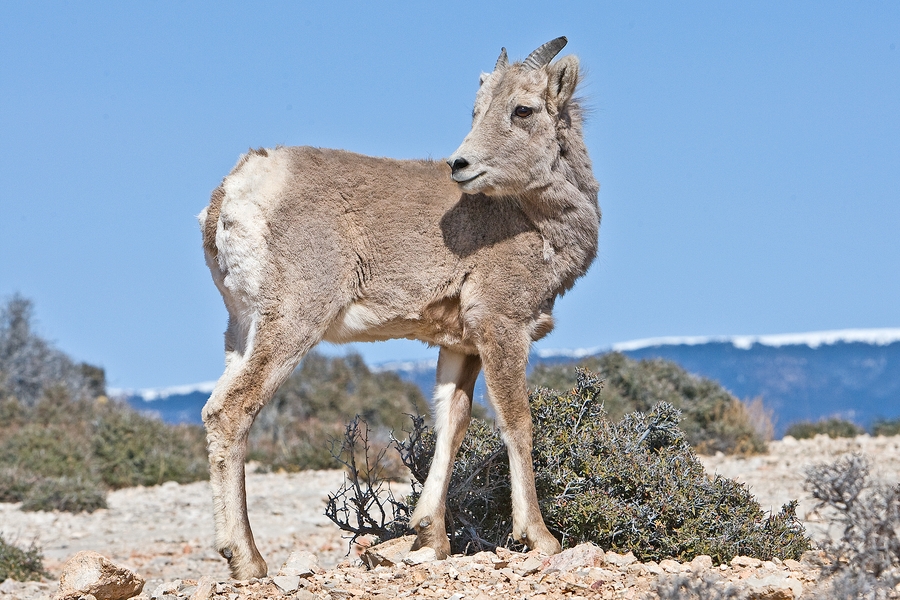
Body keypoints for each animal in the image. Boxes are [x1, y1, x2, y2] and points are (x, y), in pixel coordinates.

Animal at [200, 36, 600, 576]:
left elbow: (451, 423)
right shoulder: (502, 327)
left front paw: (430, 538)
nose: (461, 165)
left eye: (522, 109)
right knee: (231, 411)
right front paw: (539, 538)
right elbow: (517, 423)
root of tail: (236, 190)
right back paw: (248, 560)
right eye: (478, 109)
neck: (532, 220)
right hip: (291, 324)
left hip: (242, 330)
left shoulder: (462, 346)